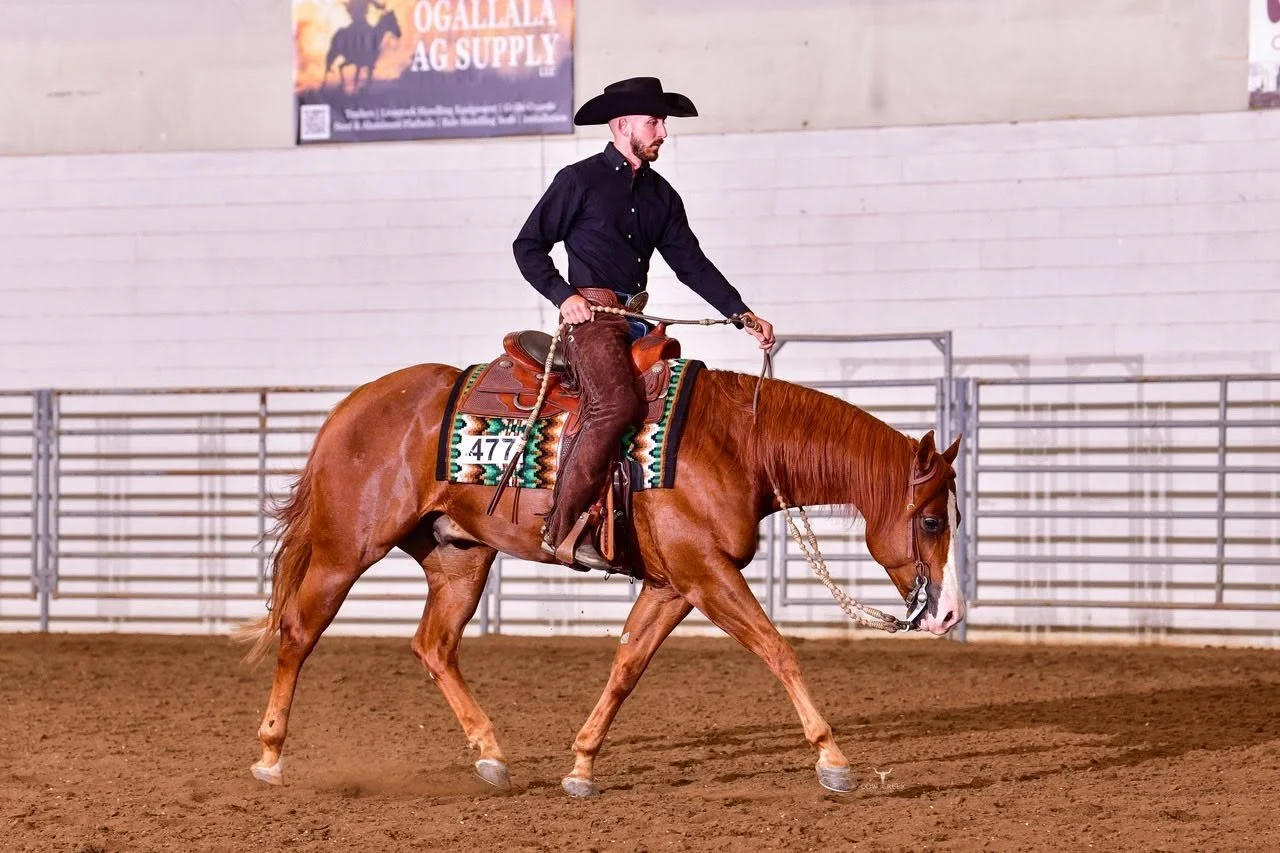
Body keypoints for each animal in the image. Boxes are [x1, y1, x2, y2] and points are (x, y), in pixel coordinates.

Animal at [238, 359, 964, 796]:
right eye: (932, 520)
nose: (951, 612)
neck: (734, 443)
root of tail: (349, 409)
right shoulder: (707, 574)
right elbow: (776, 648)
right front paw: (832, 759)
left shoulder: (674, 584)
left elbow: (626, 665)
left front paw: (583, 763)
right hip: (345, 550)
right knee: (299, 630)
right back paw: (270, 755)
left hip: (460, 556)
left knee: (434, 645)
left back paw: (491, 754)